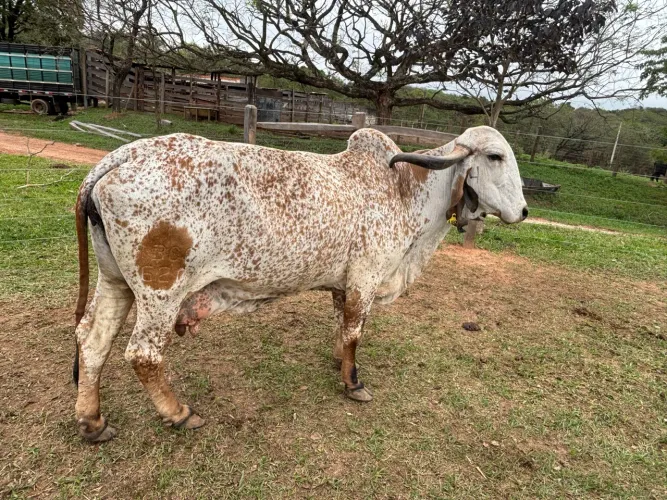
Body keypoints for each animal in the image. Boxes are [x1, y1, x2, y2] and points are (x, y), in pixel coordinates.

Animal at [72, 126, 527, 442]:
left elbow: (343, 328)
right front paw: (353, 382)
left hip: (115, 280)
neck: (403, 190)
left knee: (92, 340)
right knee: (143, 355)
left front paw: (339, 360)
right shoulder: (365, 276)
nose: (524, 211)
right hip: (160, 293)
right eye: (494, 156)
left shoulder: (344, 283)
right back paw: (178, 413)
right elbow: (356, 329)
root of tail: (122, 156)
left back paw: (92, 421)